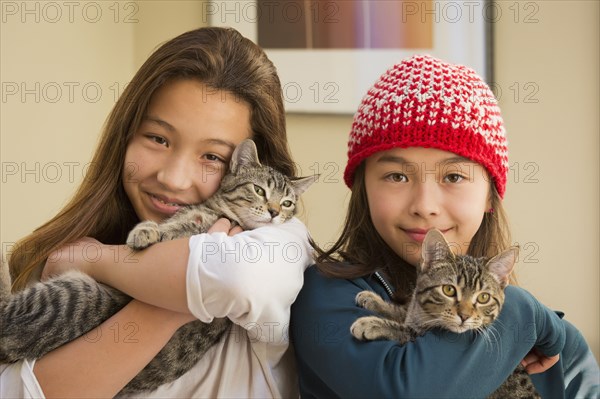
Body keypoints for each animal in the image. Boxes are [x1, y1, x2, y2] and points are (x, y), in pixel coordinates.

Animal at [0, 140, 318, 396]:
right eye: (259, 190)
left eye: (287, 203)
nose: (274, 212)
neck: (217, 213)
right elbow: (164, 227)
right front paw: (145, 231)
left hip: (74, 298)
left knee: (6, 312)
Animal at [350, 230, 540, 399]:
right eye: (449, 290)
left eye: (483, 298)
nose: (464, 316)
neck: (422, 316)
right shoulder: (414, 312)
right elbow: (404, 311)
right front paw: (374, 300)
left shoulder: (420, 333)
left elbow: (406, 330)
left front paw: (372, 323)